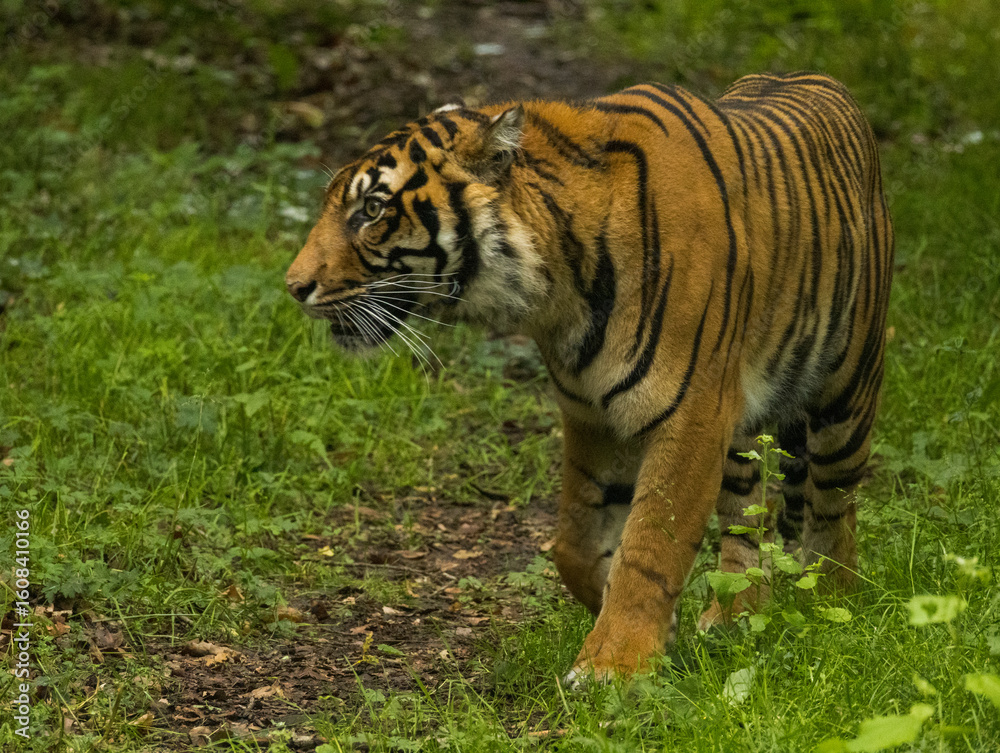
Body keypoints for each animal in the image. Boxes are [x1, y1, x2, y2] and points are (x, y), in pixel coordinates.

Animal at [285, 72, 894, 682]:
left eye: (373, 209)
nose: (293, 287)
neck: (559, 289)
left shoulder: (691, 414)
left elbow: (652, 544)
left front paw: (614, 666)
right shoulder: (591, 414)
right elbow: (575, 541)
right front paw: (653, 628)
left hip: (846, 396)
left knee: (834, 507)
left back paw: (831, 604)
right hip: (741, 432)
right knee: (750, 516)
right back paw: (736, 616)